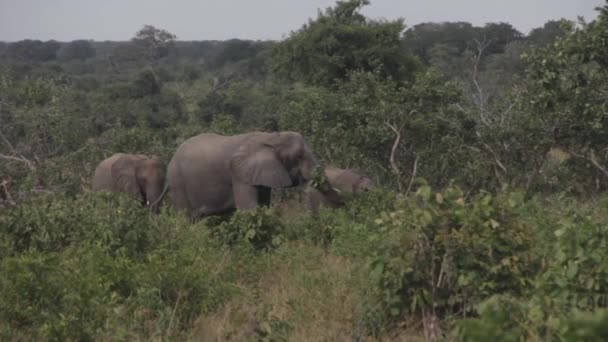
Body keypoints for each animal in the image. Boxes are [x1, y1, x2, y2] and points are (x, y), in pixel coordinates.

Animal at [167, 131, 316, 219]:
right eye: (298, 156)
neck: (271, 137)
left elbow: (264, 206)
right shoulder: (238, 174)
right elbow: (248, 209)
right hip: (178, 182)